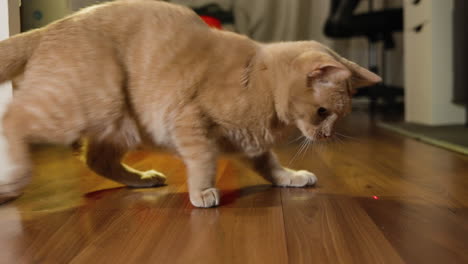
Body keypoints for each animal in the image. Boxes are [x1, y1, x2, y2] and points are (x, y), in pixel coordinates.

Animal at [0, 0, 380, 207]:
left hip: (120, 124)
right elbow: (204, 162)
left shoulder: (251, 143)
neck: (258, 79)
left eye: (339, 117)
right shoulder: (191, 122)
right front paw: (203, 192)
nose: (327, 136)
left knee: (95, 158)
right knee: (12, 118)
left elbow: (270, 165)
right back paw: (14, 181)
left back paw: (143, 179)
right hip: (84, 106)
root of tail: (53, 26)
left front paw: (291, 177)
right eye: (322, 113)